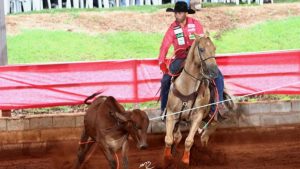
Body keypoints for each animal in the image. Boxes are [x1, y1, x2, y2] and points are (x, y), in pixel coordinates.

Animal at [163, 33, 236, 165]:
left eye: (214, 48)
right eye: (201, 49)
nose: (214, 71)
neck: (187, 87)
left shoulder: (197, 116)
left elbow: (189, 141)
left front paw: (185, 161)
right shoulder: (171, 114)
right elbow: (169, 139)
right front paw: (167, 159)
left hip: (211, 116)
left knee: (209, 130)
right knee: (177, 136)